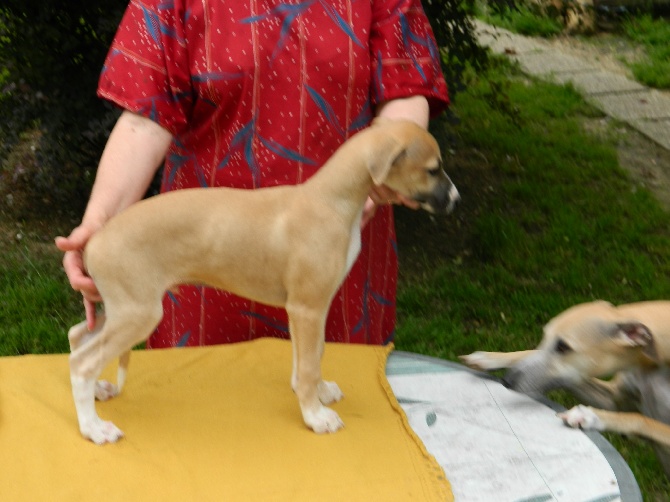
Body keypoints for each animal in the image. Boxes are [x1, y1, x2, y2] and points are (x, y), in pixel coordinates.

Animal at [65, 119, 460, 446]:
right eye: (433, 169)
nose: (456, 199)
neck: (329, 200)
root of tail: (94, 240)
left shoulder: (306, 309)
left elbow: (311, 355)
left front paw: (317, 393)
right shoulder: (307, 307)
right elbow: (310, 363)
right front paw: (315, 416)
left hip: (122, 307)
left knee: (77, 336)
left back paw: (98, 394)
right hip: (139, 312)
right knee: (82, 363)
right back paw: (93, 428)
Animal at [464, 300, 670, 476]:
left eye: (563, 347)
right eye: (545, 336)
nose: (507, 381)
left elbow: (640, 419)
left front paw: (590, 416)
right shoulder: (613, 400)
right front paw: (489, 358)